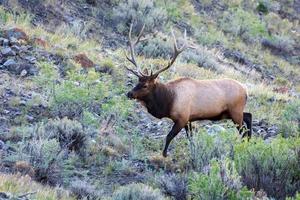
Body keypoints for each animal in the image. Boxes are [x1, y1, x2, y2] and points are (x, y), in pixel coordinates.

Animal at [123, 23, 252, 157]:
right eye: (138, 81)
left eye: (145, 85)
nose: (129, 93)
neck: (168, 101)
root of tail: (246, 90)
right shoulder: (189, 120)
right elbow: (190, 139)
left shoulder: (182, 118)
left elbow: (169, 136)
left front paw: (164, 154)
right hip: (231, 112)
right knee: (248, 116)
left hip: (235, 111)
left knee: (243, 129)